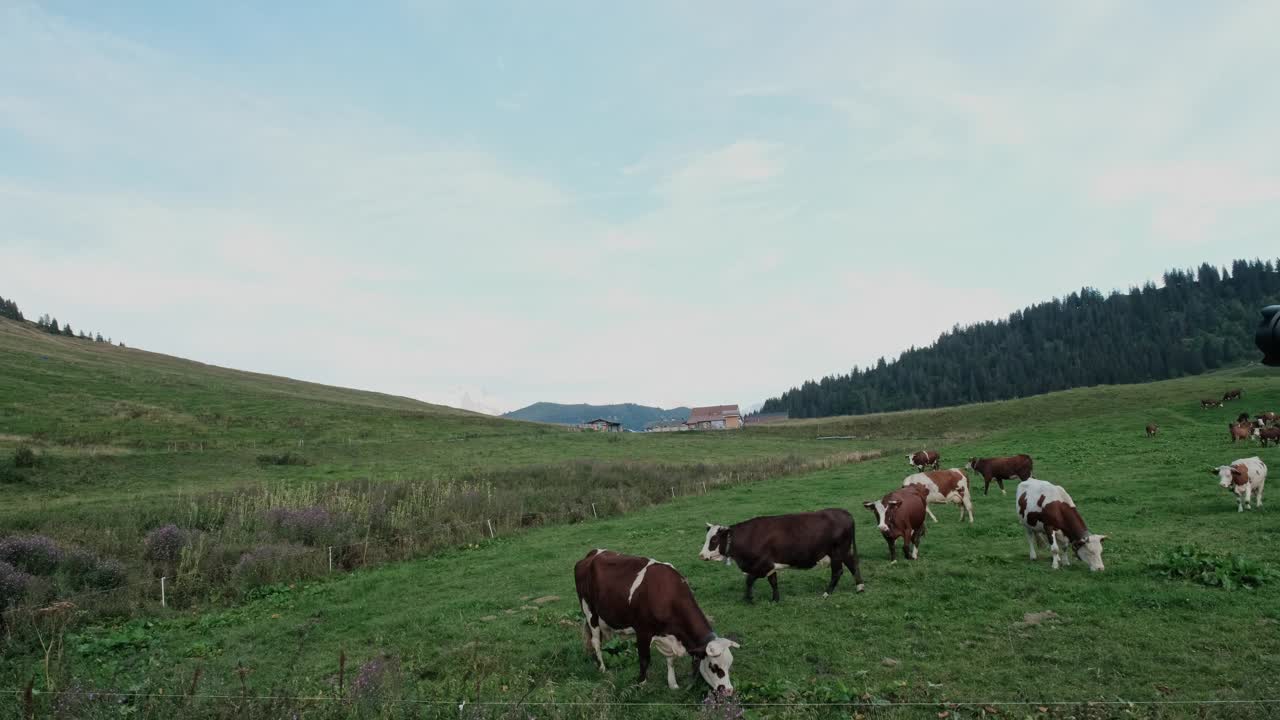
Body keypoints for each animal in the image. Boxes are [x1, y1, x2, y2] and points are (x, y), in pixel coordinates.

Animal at [573, 548, 742, 691]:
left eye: (729, 665)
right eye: (714, 667)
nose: (728, 691)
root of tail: (592, 554)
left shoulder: (669, 635)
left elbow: (671, 660)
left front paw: (673, 683)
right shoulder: (643, 631)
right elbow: (644, 659)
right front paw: (641, 683)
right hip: (589, 611)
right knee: (595, 641)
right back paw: (602, 667)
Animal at [701, 507, 870, 602]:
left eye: (714, 539)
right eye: (707, 537)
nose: (701, 555)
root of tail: (843, 512)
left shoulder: (761, 565)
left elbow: (749, 580)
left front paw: (748, 599)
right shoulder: (770, 565)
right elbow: (773, 582)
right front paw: (775, 599)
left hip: (836, 552)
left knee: (837, 571)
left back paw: (826, 593)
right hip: (844, 551)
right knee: (852, 564)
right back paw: (860, 587)